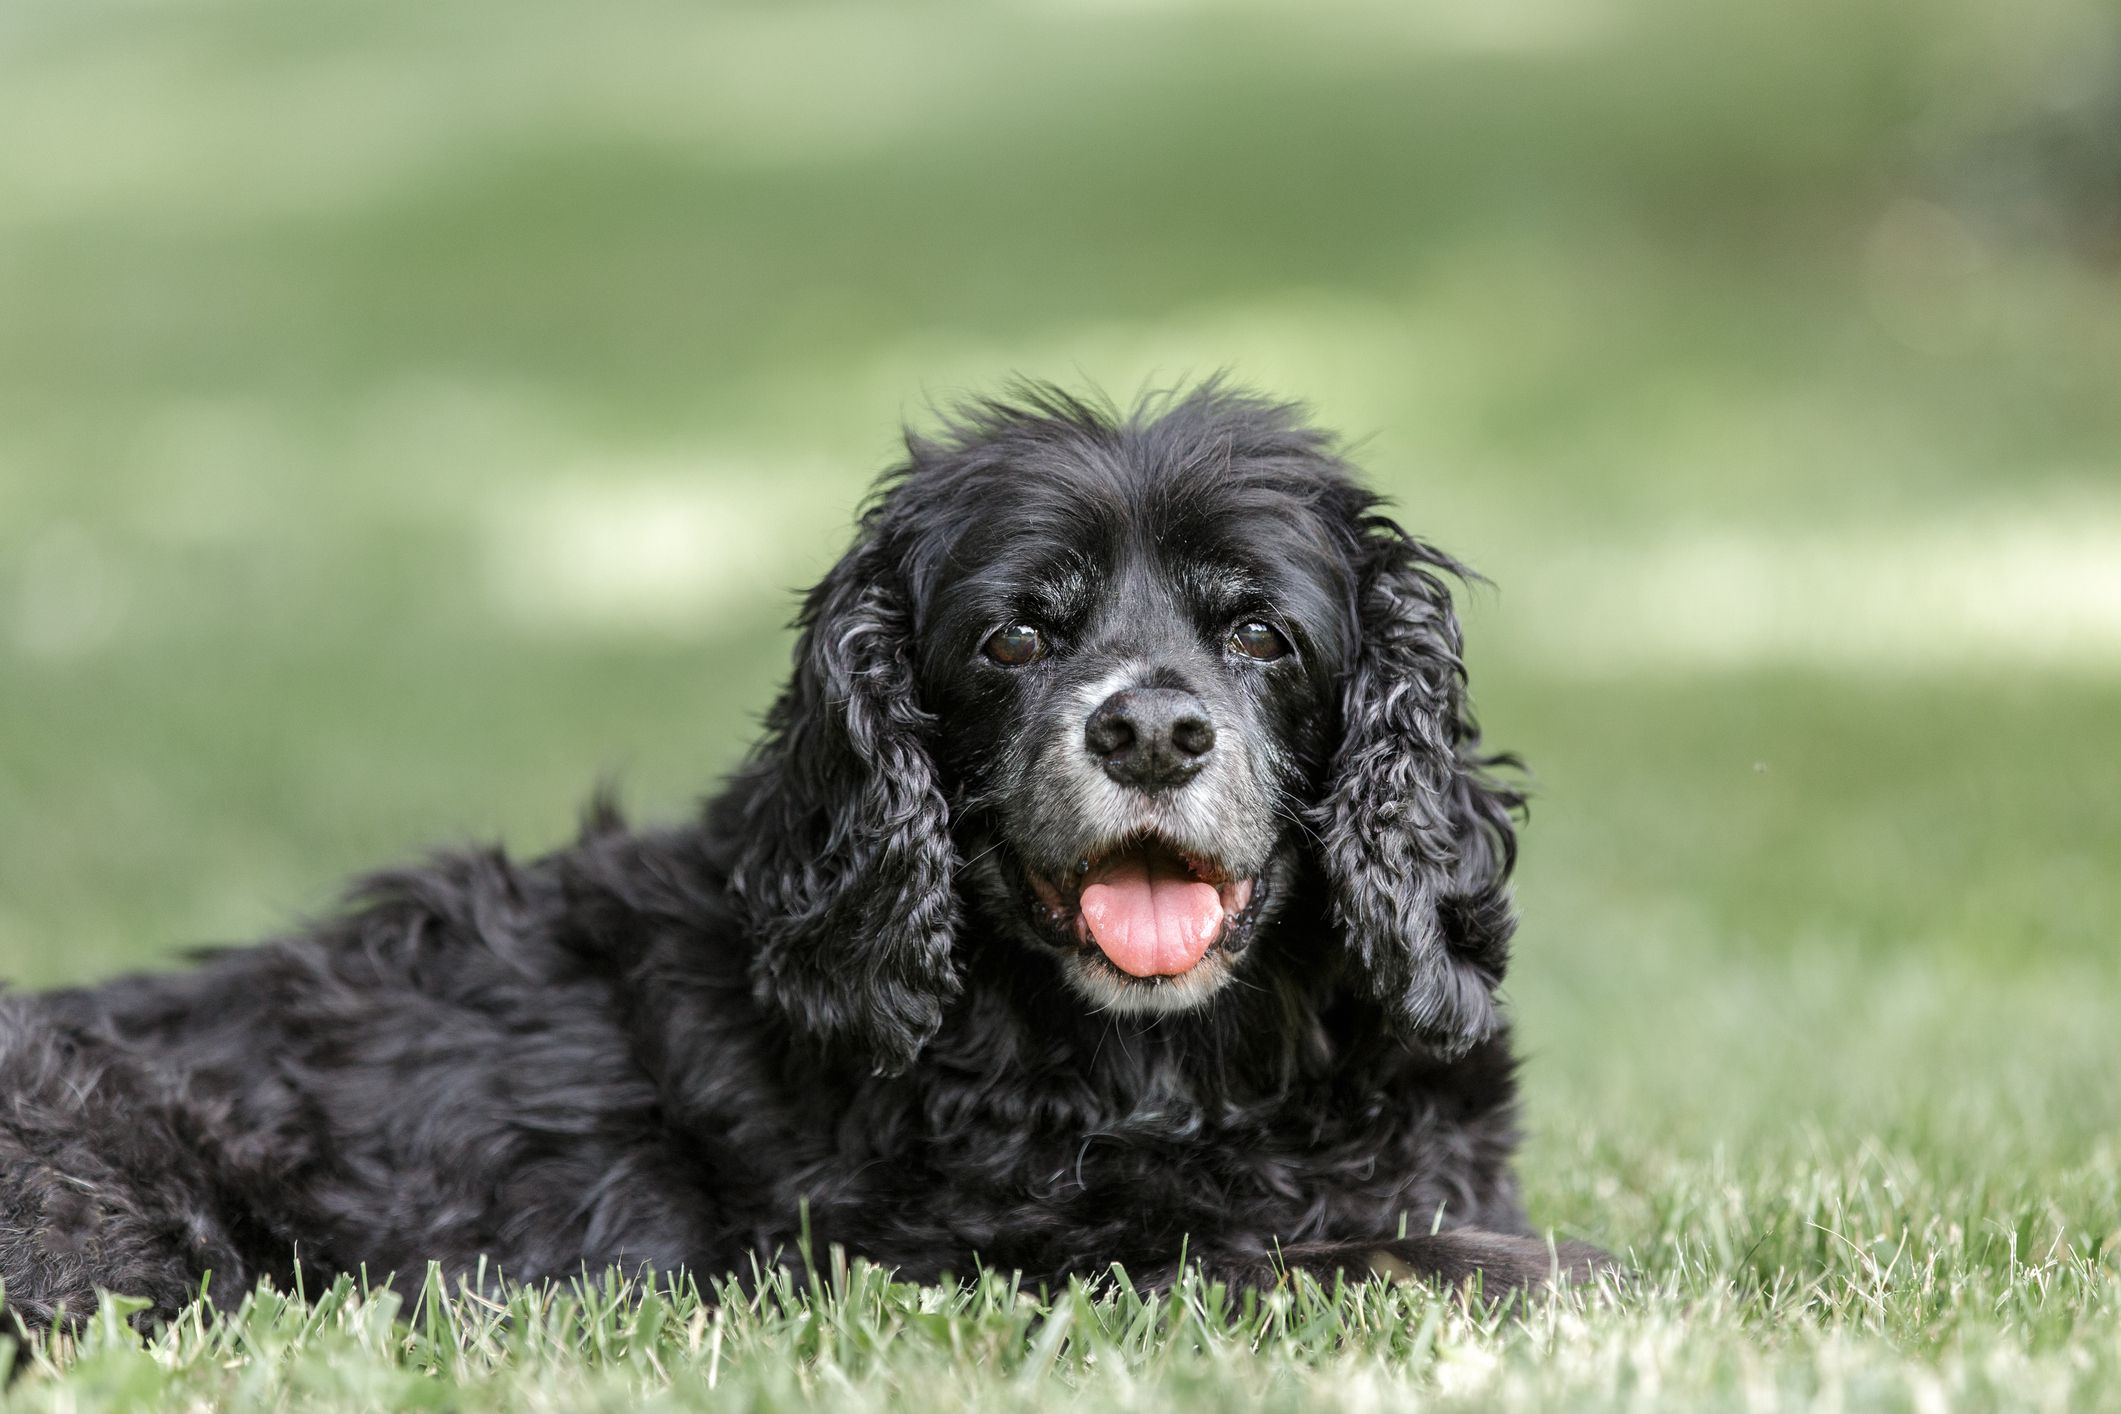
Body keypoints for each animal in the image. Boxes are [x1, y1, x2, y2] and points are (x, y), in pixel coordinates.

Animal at [0, 381, 1594, 1331]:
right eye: (1013, 637)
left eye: (1260, 631)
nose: (1149, 729)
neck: (1180, 1066)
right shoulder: (964, 1262)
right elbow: (1333, 1254)